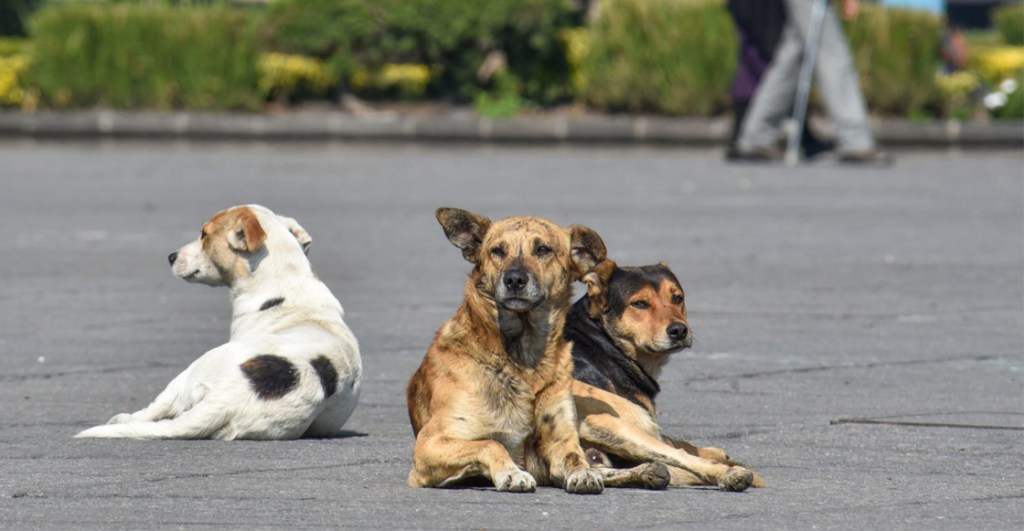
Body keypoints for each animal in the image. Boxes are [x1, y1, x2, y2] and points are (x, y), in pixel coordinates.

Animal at [74, 203, 360, 439]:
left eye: (204, 233)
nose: (171, 256)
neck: (286, 279)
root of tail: (230, 397)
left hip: (192, 370)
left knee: (156, 408)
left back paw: (123, 418)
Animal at [403, 208, 667, 495]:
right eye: (497, 251)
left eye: (543, 249)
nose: (514, 279)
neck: (523, 359)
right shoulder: (430, 445)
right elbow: (490, 443)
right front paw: (512, 473)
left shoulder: (558, 440)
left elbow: (575, 458)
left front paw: (583, 474)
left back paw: (646, 471)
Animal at [569, 259, 761, 493]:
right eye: (640, 304)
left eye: (677, 298)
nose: (679, 330)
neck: (601, 341)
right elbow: (678, 446)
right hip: (610, 425)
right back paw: (729, 474)